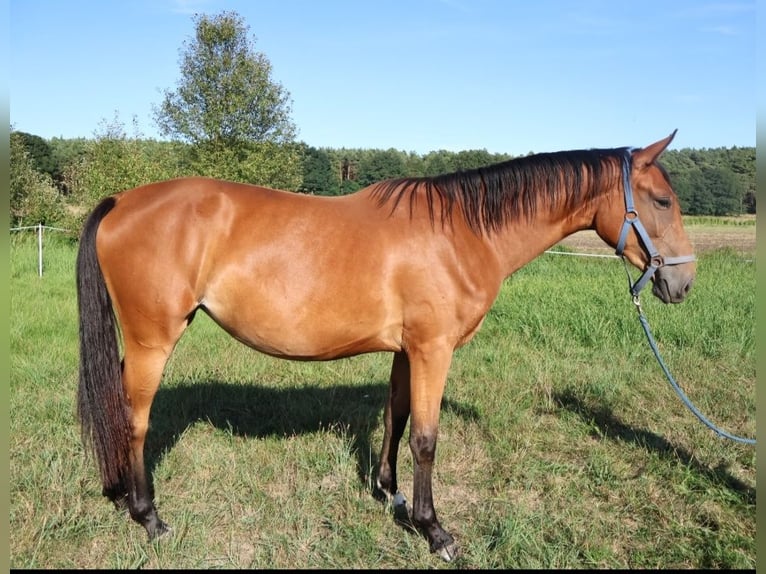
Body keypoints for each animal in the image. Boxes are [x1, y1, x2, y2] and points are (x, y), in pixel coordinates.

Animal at [76, 131, 696, 561]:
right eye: (663, 201)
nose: (682, 283)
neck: (461, 232)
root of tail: (122, 201)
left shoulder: (406, 350)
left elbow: (396, 418)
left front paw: (390, 494)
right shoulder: (433, 350)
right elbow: (425, 437)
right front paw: (434, 530)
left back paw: (120, 494)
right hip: (154, 341)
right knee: (134, 419)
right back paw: (149, 517)